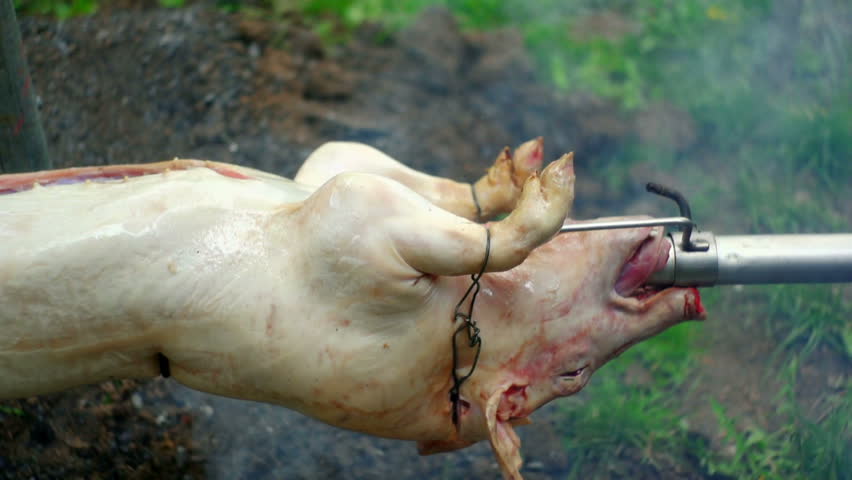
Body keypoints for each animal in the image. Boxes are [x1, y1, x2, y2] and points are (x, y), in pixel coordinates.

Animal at [0, 139, 704, 479]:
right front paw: (540, 169)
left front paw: (532, 176)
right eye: (575, 373)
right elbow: (445, 210)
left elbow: (449, 215)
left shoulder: (344, 223)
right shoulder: (350, 216)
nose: (692, 298)